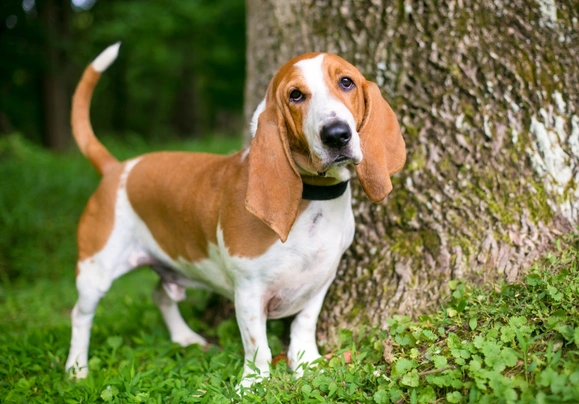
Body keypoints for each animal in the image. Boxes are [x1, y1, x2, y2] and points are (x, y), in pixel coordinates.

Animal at [63, 42, 406, 386]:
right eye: (295, 95)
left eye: (346, 82)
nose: (336, 134)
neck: (314, 197)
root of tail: (115, 168)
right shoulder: (249, 290)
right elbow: (257, 346)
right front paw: (253, 384)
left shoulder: (320, 282)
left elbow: (303, 326)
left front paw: (308, 363)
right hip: (96, 271)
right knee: (80, 315)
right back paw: (76, 368)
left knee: (161, 295)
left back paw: (185, 338)